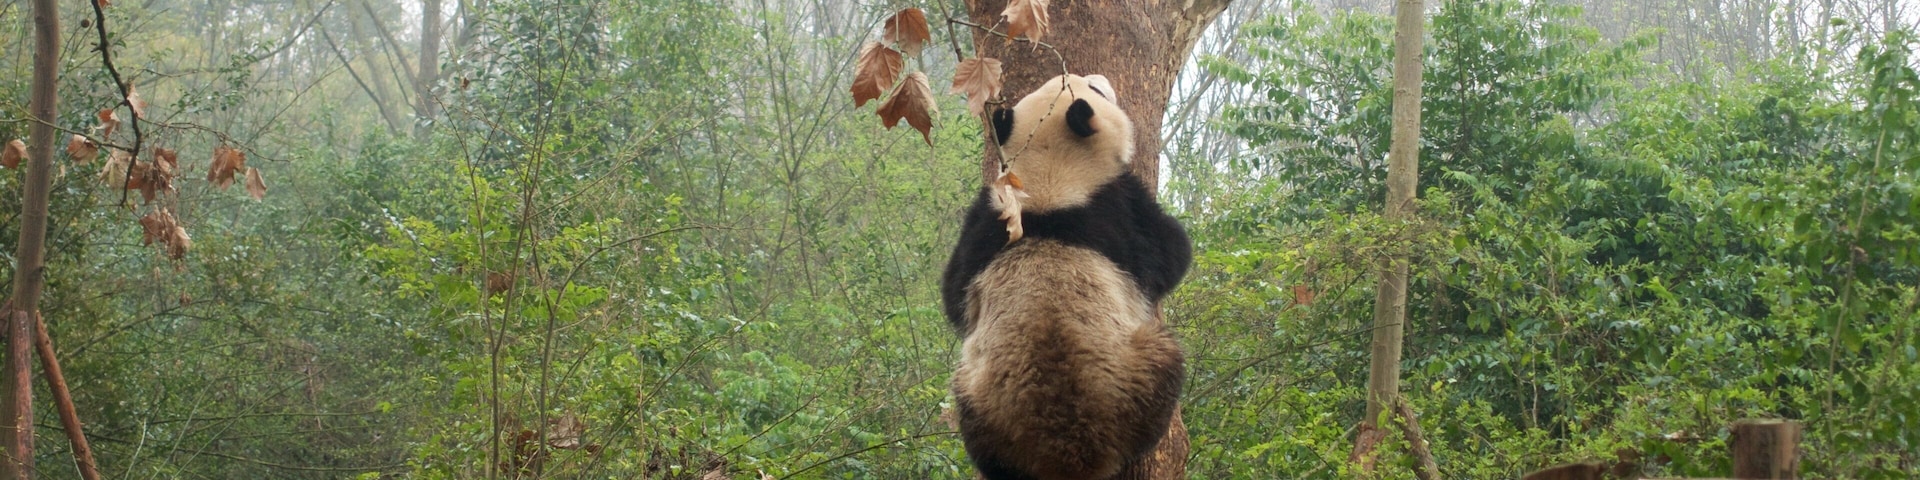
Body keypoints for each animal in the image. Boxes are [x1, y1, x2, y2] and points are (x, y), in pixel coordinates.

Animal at [939, 73, 1192, 480]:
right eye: (1097, 90)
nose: (1100, 78)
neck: (1048, 180)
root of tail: (1068, 452)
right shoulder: (1115, 213)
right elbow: (1171, 253)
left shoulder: (986, 226)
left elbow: (954, 293)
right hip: (1136, 376)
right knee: (1165, 360)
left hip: (980, 406)